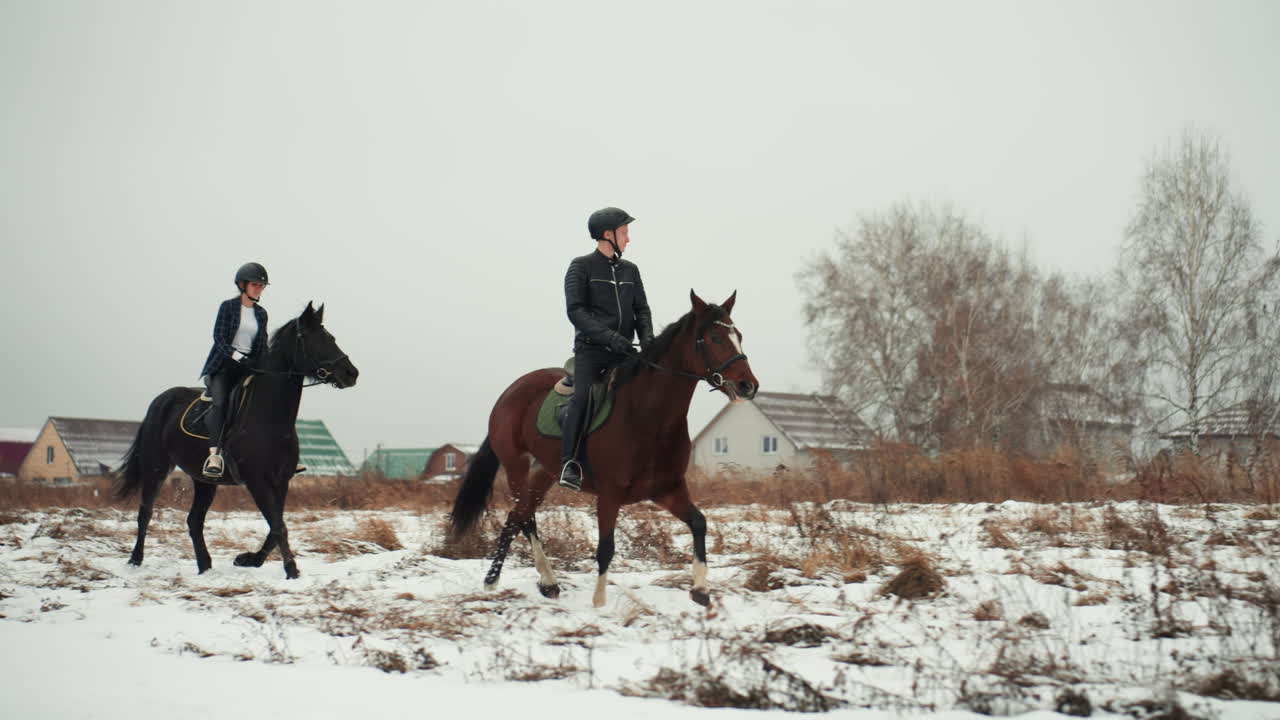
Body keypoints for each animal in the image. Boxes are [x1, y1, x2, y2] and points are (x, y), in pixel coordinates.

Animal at [113, 302, 359, 579]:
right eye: (312, 339)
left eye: (331, 338)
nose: (351, 373)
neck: (271, 419)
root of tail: (161, 400)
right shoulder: (257, 481)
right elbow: (278, 526)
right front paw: (291, 570)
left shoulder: (281, 480)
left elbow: (275, 526)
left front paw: (249, 559)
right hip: (156, 466)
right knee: (145, 511)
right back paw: (135, 560)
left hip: (204, 480)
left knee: (194, 520)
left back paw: (205, 566)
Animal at [449, 290, 759, 607]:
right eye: (714, 338)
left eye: (738, 336)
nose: (748, 386)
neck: (649, 416)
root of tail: (509, 393)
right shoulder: (610, 495)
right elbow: (606, 547)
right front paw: (599, 603)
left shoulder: (667, 489)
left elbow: (699, 523)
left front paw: (700, 590)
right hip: (516, 466)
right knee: (525, 518)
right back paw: (531, 580)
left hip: (543, 473)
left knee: (517, 516)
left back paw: (513, 581)